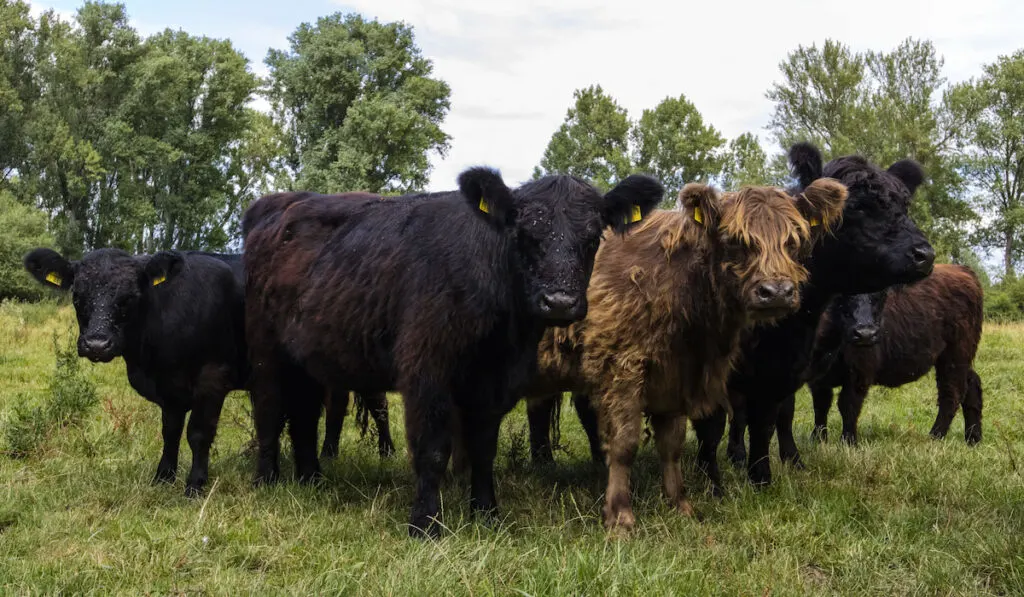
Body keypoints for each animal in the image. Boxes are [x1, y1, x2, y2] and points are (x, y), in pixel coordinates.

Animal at [24, 247, 247, 495]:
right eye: (77, 296)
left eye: (130, 297)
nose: (96, 344)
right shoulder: (169, 388)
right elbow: (170, 432)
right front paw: (162, 478)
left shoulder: (213, 376)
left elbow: (198, 433)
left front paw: (194, 486)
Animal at [240, 166, 663, 536]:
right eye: (524, 234)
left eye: (593, 237)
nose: (559, 301)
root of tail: (280, 203)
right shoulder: (426, 370)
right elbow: (432, 450)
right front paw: (425, 525)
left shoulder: (497, 380)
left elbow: (483, 448)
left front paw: (487, 515)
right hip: (264, 350)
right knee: (269, 410)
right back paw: (267, 481)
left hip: (306, 358)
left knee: (304, 415)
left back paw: (311, 479)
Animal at [806, 264, 983, 446]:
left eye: (880, 292)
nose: (865, 334)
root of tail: (962, 270)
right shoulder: (817, 379)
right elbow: (821, 406)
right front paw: (817, 440)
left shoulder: (859, 372)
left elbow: (848, 405)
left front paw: (848, 442)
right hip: (961, 360)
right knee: (971, 385)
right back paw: (973, 439)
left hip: (954, 357)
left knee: (951, 393)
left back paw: (934, 437)